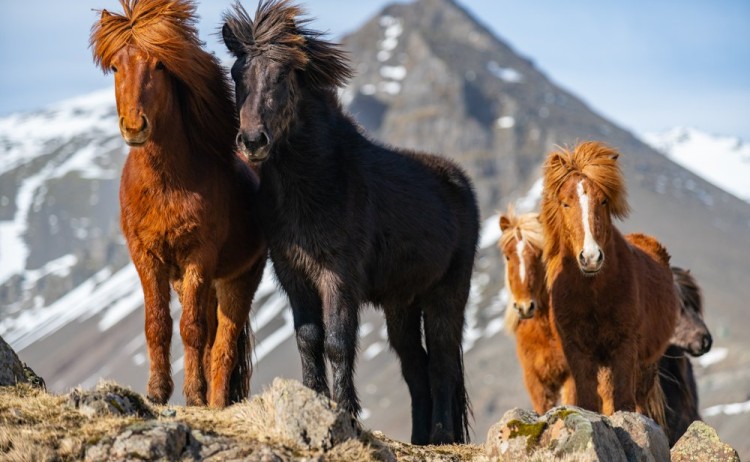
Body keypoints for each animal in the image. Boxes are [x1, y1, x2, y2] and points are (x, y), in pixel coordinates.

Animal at [90, 0, 266, 407]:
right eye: (116, 67)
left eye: (159, 65)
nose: (134, 126)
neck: (165, 185)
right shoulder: (146, 256)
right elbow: (157, 323)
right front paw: (157, 390)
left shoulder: (198, 257)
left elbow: (192, 330)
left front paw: (193, 395)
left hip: (237, 281)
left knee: (223, 346)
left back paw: (214, 401)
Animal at [221, 1, 479, 445]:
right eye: (238, 73)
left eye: (283, 74)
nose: (252, 141)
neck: (318, 180)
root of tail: (460, 183)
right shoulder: (293, 273)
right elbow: (308, 339)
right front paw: (314, 400)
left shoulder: (338, 275)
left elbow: (338, 343)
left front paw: (345, 412)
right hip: (401, 304)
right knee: (416, 366)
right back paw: (419, 437)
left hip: (447, 293)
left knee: (443, 360)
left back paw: (442, 435)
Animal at [539, 141, 677, 424]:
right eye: (565, 203)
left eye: (603, 200)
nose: (591, 257)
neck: (593, 294)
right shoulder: (577, 350)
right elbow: (588, 402)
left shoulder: (624, 348)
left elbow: (624, 402)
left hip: (646, 364)